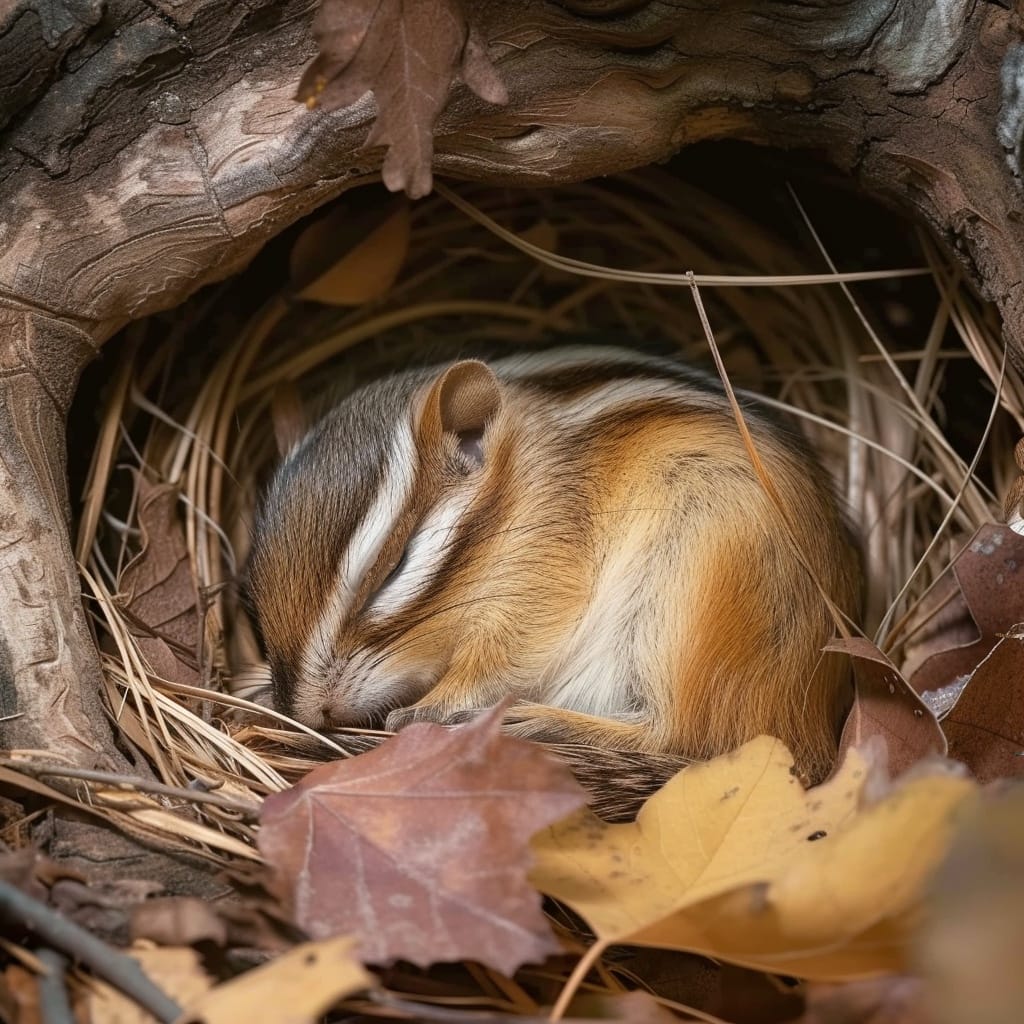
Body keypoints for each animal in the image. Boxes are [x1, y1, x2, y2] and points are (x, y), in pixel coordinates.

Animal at [246, 344, 862, 781]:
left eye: (395, 568)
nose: (306, 711)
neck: (518, 480)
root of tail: (815, 730)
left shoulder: (540, 574)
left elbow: (501, 660)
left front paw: (432, 707)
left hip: (699, 582)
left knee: (690, 739)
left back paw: (535, 721)